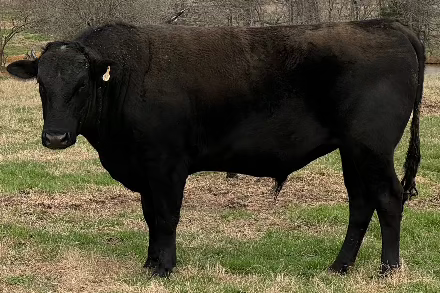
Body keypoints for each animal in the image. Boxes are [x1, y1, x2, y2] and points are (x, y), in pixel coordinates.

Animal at [6, 19, 424, 278]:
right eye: (42, 85)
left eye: (81, 86)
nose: (55, 137)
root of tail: (389, 25)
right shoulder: (145, 169)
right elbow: (149, 217)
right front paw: (149, 263)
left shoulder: (166, 165)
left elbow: (165, 217)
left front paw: (164, 268)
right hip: (352, 151)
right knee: (361, 203)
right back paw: (339, 267)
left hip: (372, 147)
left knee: (388, 198)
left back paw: (389, 269)